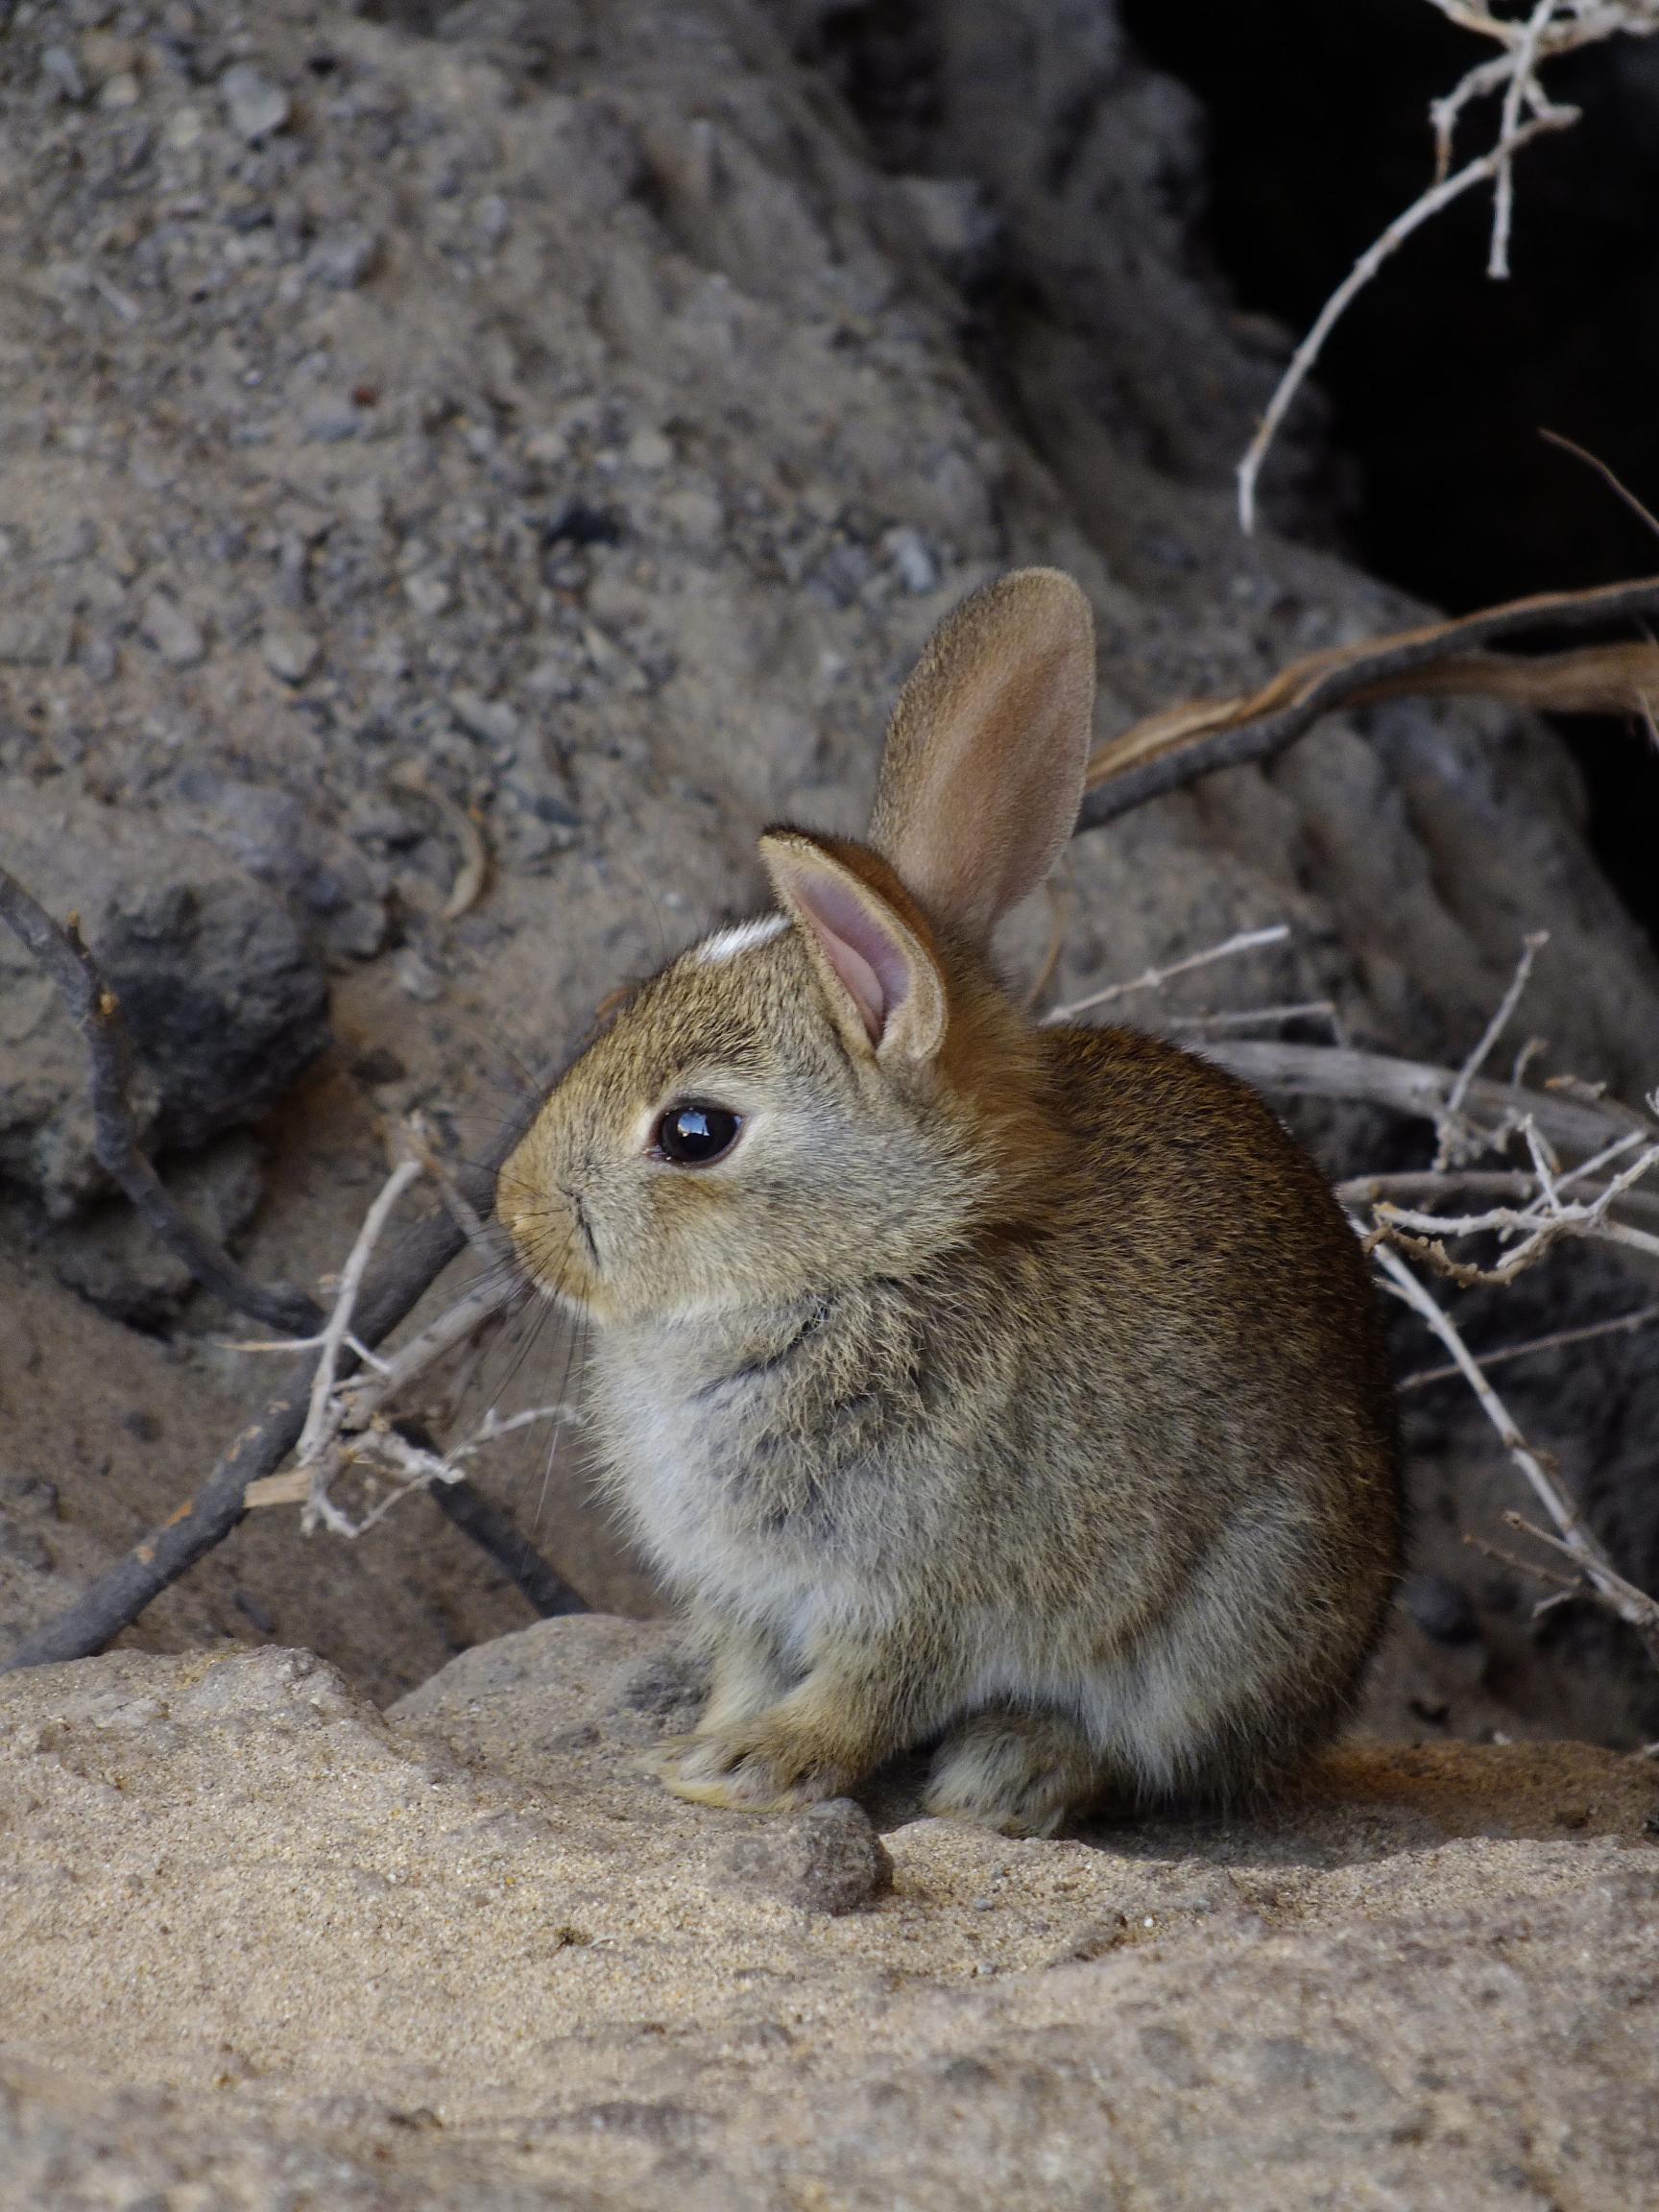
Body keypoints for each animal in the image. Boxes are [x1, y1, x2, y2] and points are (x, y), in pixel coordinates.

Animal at [500, 568, 1401, 1836]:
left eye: (695, 1133)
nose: (514, 1215)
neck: (879, 1264)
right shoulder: (748, 1598)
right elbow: (746, 1669)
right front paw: (699, 1750)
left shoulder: (923, 1591)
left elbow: (866, 1693)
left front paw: (754, 1770)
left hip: (1238, 1615)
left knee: (1154, 1753)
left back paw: (1008, 1774)